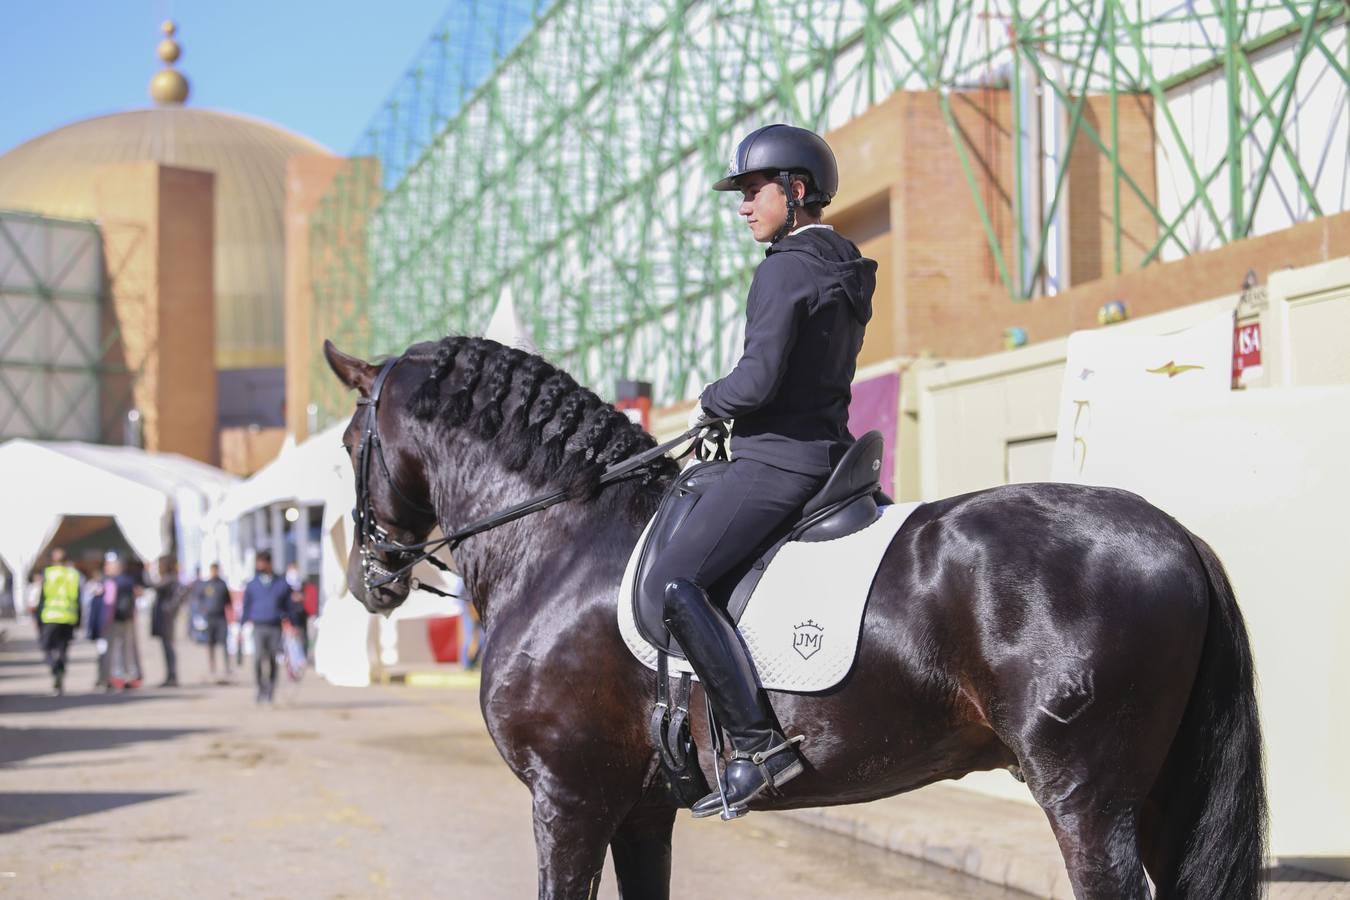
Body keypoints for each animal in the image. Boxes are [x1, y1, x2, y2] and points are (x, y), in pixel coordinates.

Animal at [324, 337, 1263, 900]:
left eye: (346, 445)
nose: (369, 580)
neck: (563, 535)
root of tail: (1175, 534)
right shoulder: (640, 807)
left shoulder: (569, 796)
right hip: (1157, 796)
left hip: (1087, 795)